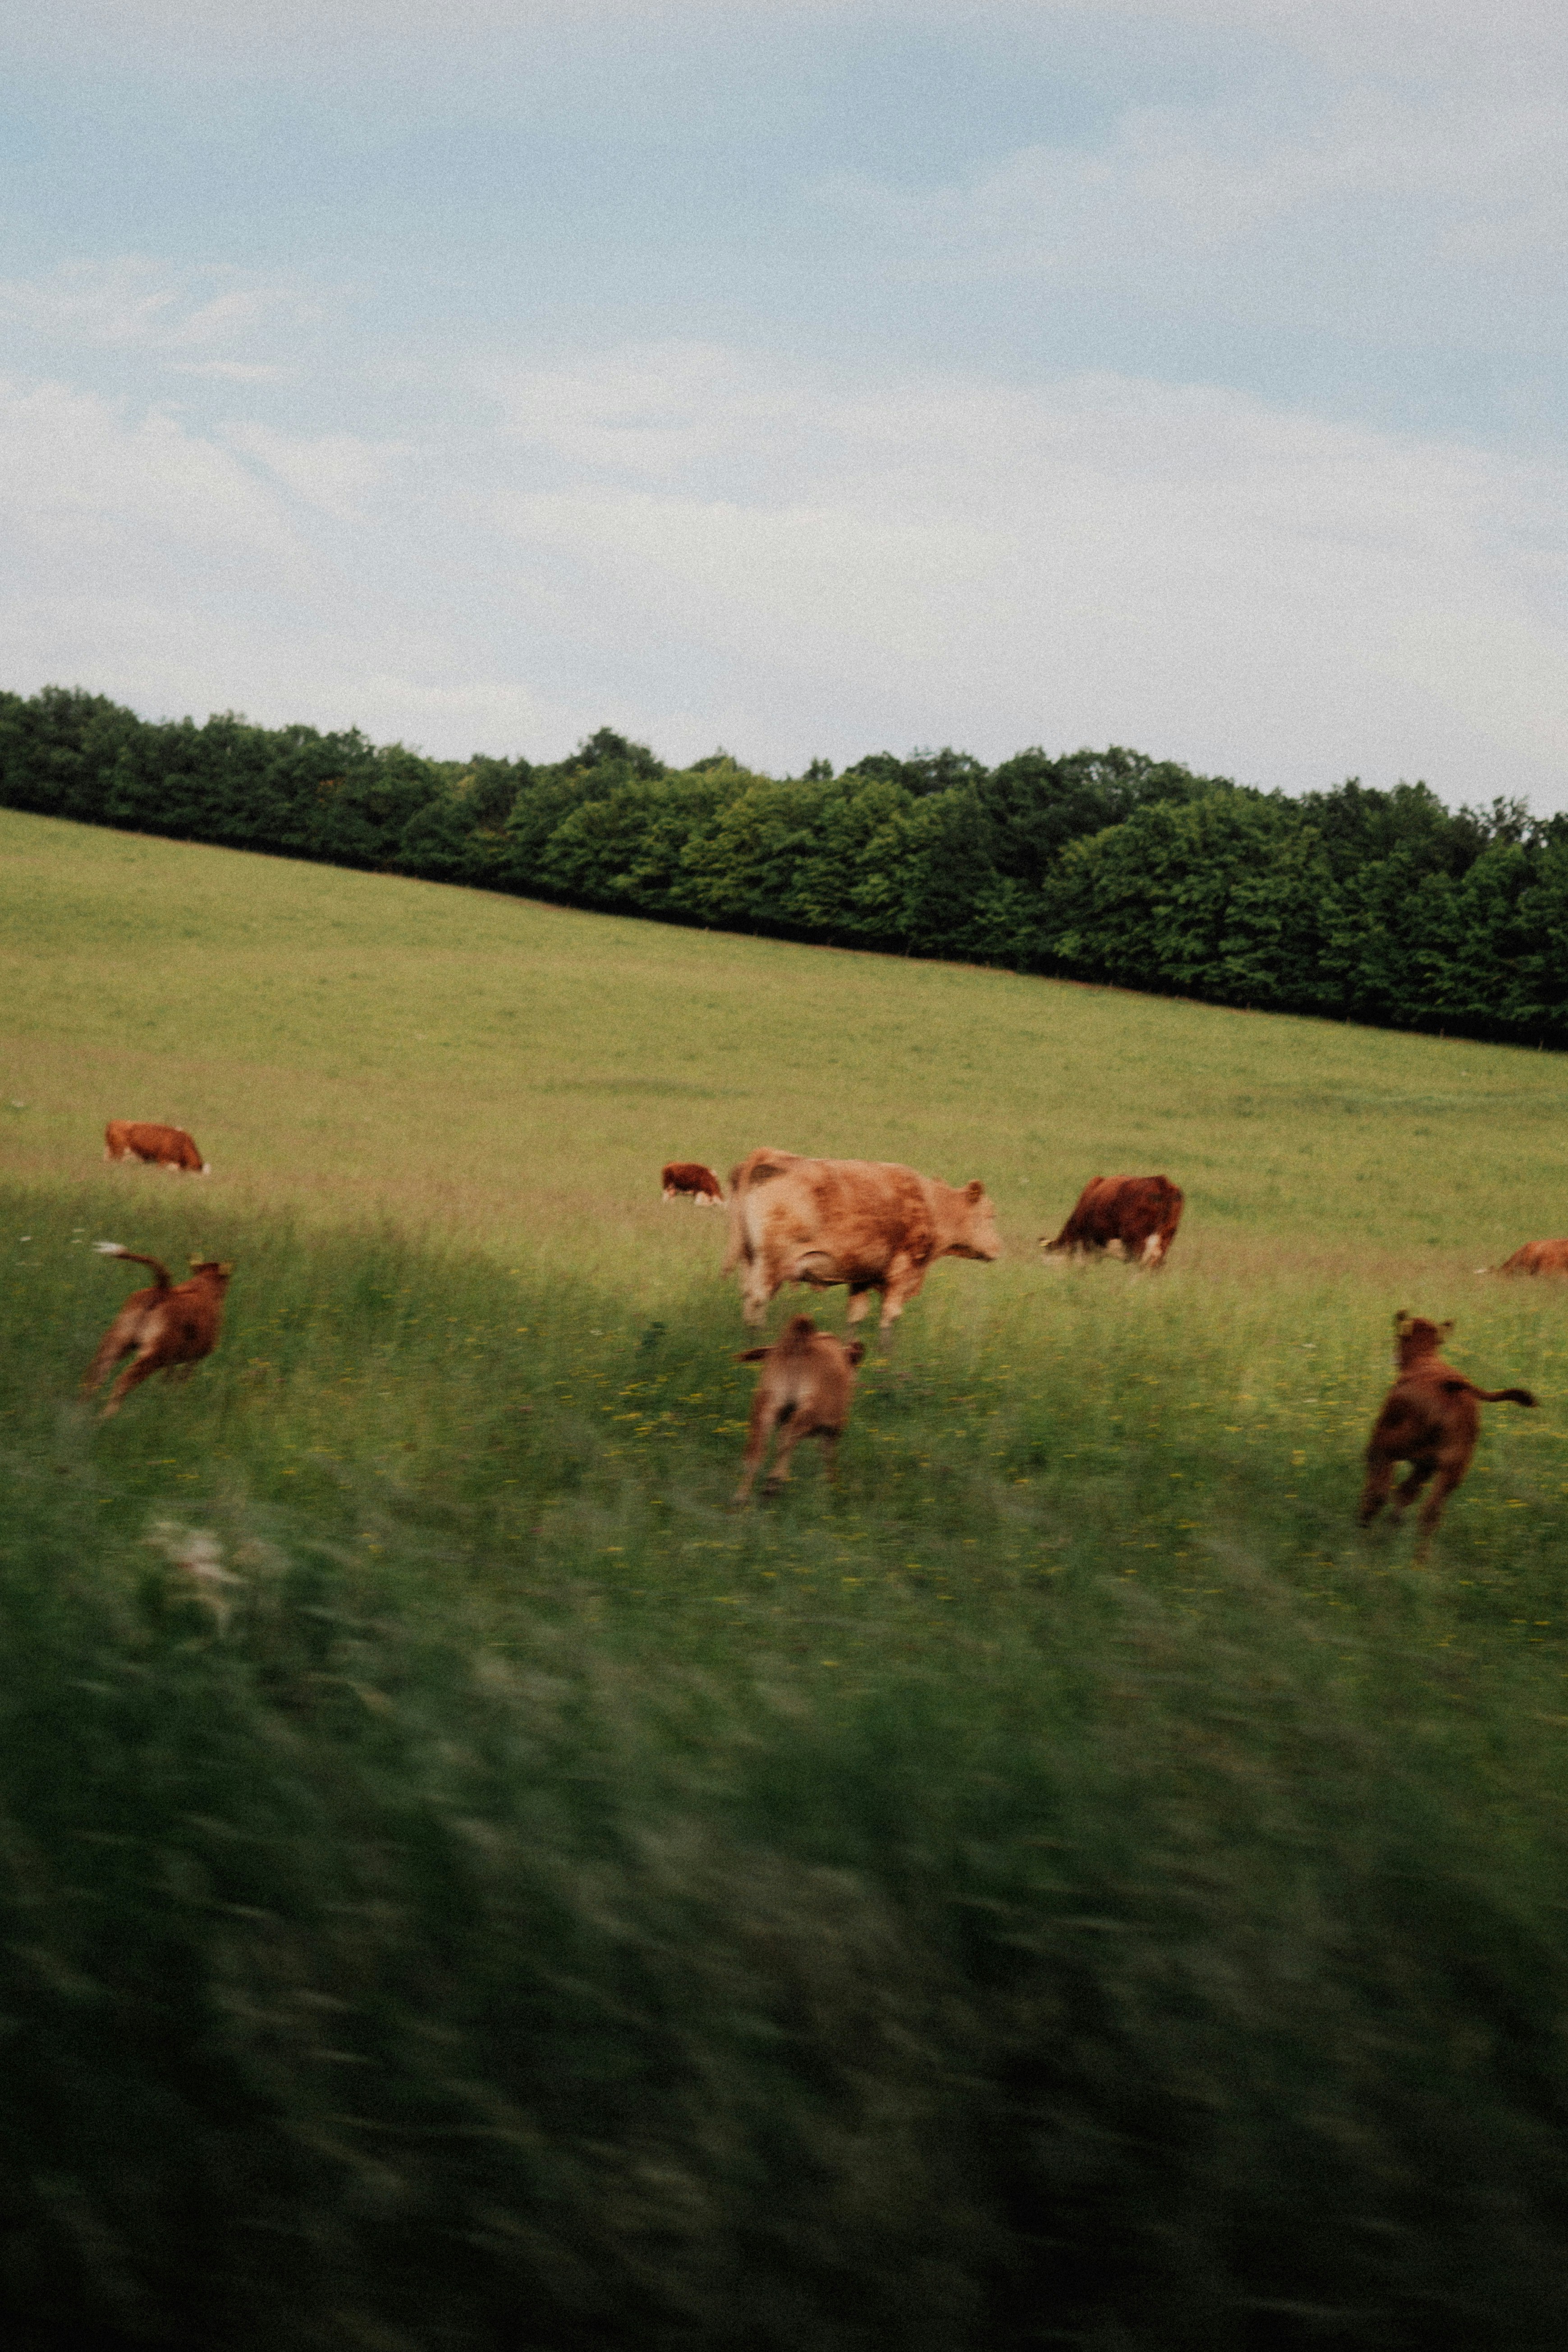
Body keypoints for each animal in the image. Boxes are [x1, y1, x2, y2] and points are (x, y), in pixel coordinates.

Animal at [82, 1245, 234, 1419]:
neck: (203, 1286)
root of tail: (163, 1290)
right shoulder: (195, 1357)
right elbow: (182, 1381)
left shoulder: (174, 1359)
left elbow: (167, 1381)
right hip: (154, 1354)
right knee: (123, 1380)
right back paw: (106, 1418)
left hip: (116, 1341)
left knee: (94, 1375)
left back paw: (81, 1413)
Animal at [661, 1160, 724, 1207]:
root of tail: (671, 1163)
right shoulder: (697, 1190)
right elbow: (697, 1202)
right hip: (667, 1185)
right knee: (665, 1195)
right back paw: (664, 1203)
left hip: (674, 1188)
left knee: (672, 1196)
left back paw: (672, 1204)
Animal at [723, 1147, 999, 1339]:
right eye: (990, 1215)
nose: (998, 1249)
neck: (930, 1204)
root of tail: (768, 1156)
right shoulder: (901, 1272)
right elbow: (889, 1318)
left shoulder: (861, 1275)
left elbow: (854, 1318)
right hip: (771, 1264)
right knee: (757, 1302)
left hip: (749, 1260)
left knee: (748, 1302)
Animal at [734, 1314, 865, 1502]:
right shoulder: (834, 1427)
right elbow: (828, 1455)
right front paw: (832, 1485)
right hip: (812, 1410)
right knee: (788, 1436)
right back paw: (773, 1482)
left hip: (765, 1406)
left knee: (756, 1450)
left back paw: (742, 1497)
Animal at [1359, 1311, 1537, 1562]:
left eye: (1399, 1337)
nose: (1394, 1357)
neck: (1425, 1358)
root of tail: (1450, 1386)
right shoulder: (1426, 1465)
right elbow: (1406, 1494)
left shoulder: (1386, 1444)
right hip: (1453, 1467)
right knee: (1430, 1511)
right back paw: (1419, 1562)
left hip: (1391, 1445)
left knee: (1381, 1492)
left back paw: (1366, 1533)